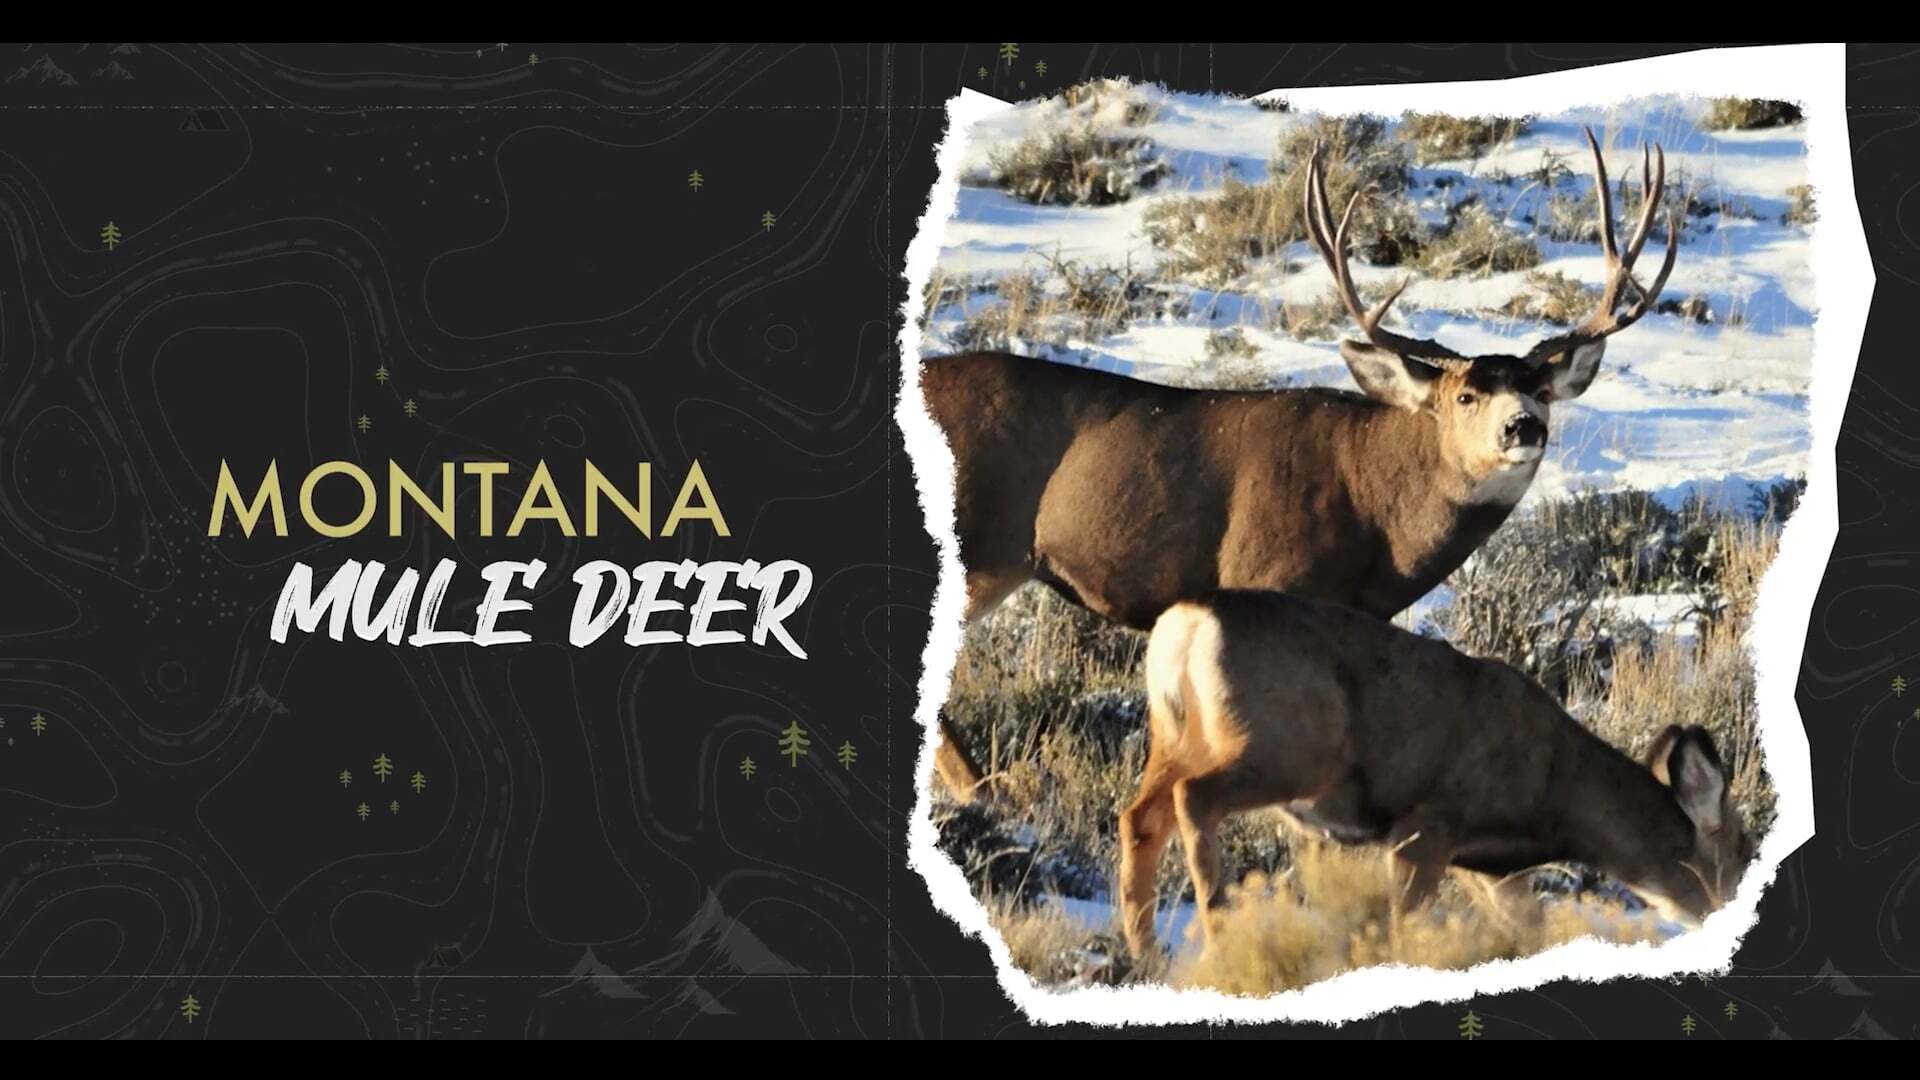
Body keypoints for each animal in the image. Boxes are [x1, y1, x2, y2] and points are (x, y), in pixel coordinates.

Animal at [922, 128, 1679, 801]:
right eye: (1465, 395)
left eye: (1542, 390)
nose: (1524, 426)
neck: (1377, 517)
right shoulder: (1261, 574)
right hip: (980, 544)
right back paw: (985, 790)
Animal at [1119, 589, 1757, 958]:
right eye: (1743, 853)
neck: (1555, 795)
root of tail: (1186, 624)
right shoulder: (1427, 824)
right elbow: (1405, 924)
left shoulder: (1486, 868)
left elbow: (1527, 926)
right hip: (1286, 748)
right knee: (1194, 797)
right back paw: (1218, 923)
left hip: (1177, 736)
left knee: (1138, 817)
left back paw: (1148, 951)